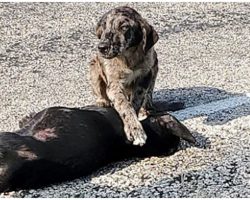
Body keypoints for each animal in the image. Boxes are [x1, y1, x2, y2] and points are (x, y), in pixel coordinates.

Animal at [90, 5, 159, 145]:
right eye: (104, 26)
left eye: (124, 27)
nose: (102, 47)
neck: (128, 57)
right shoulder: (114, 85)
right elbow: (124, 105)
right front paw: (134, 129)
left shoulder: (145, 77)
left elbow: (136, 101)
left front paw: (135, 124)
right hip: (94, 67)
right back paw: (103, 101)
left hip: (155, 65)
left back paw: (147, 107)